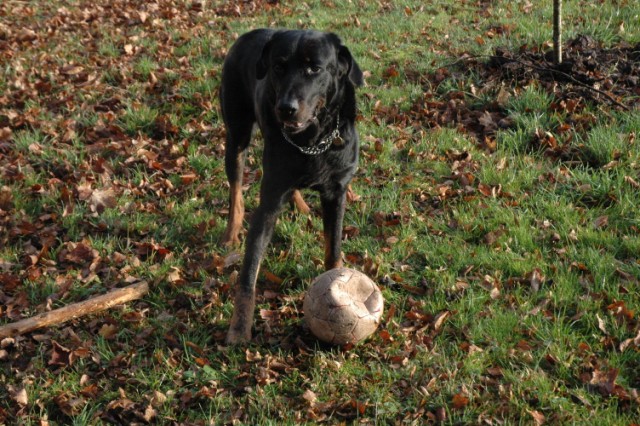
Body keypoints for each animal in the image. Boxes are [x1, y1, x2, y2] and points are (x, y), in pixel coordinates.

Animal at [220, 29, 362, 342]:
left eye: (315, 68)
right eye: (278, 67)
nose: (286, 109)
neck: (312, 141)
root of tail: (249, 33)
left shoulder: (337, 192)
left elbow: (333, 249)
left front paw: (338, 284)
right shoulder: (268, 204)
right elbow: (249, 273)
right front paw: (239, 328)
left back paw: (301, 204)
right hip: (236, 134)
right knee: (235, 189)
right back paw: (231, 232)